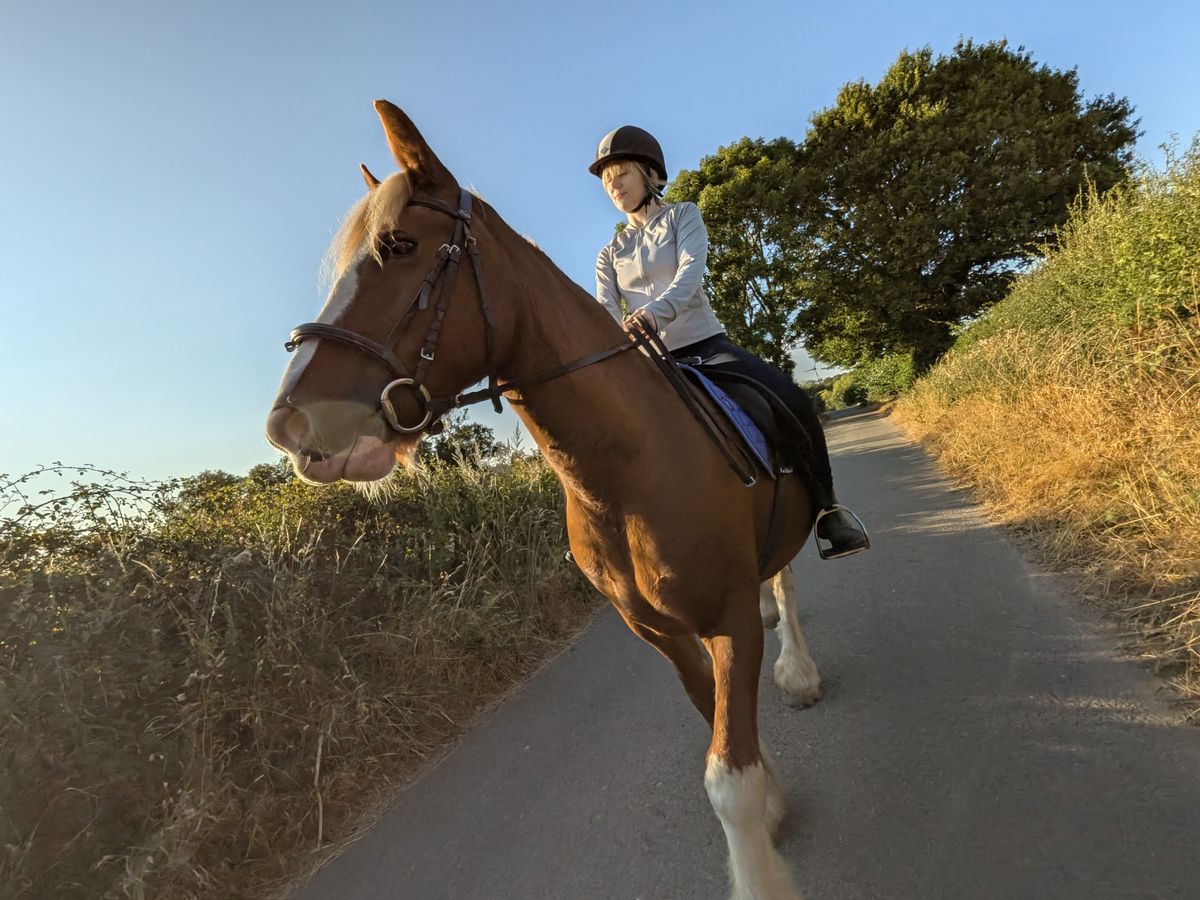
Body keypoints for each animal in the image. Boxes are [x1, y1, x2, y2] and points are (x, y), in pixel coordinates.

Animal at [266, 100, 824, 900]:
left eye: (400, 245)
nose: (289, 427)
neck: (625, 474)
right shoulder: (659, 632)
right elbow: (717, 726)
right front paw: (774, 797)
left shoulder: (726, 618)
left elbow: (729, 780)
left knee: (787, 585)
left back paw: (799, 673)